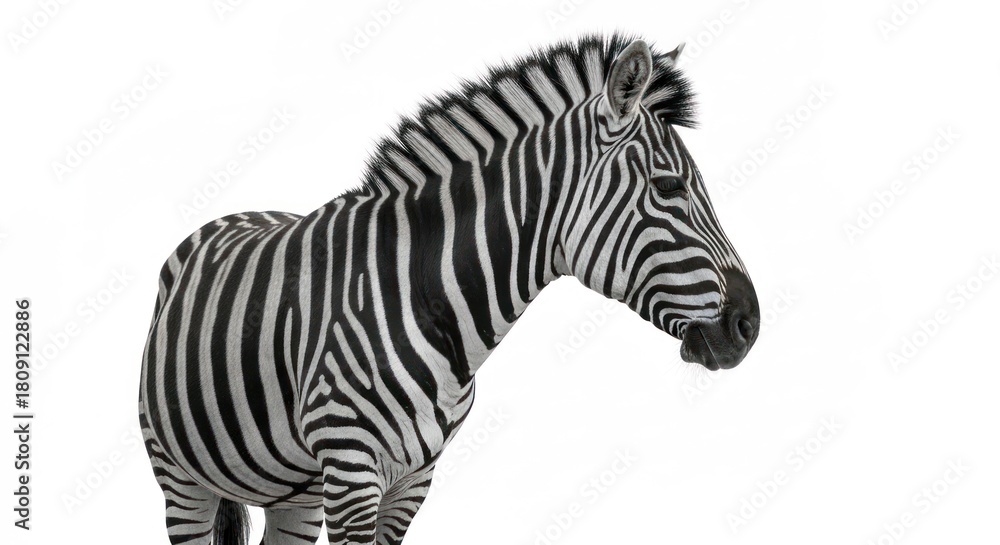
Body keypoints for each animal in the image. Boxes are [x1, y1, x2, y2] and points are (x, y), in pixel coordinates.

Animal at [139, 33, 759, 544]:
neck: (425, 300)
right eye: (670, 187)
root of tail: (229, 216)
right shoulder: (351, 470)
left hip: (295, 495)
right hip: (179, 478)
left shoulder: (413, 481)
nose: (749, 326)